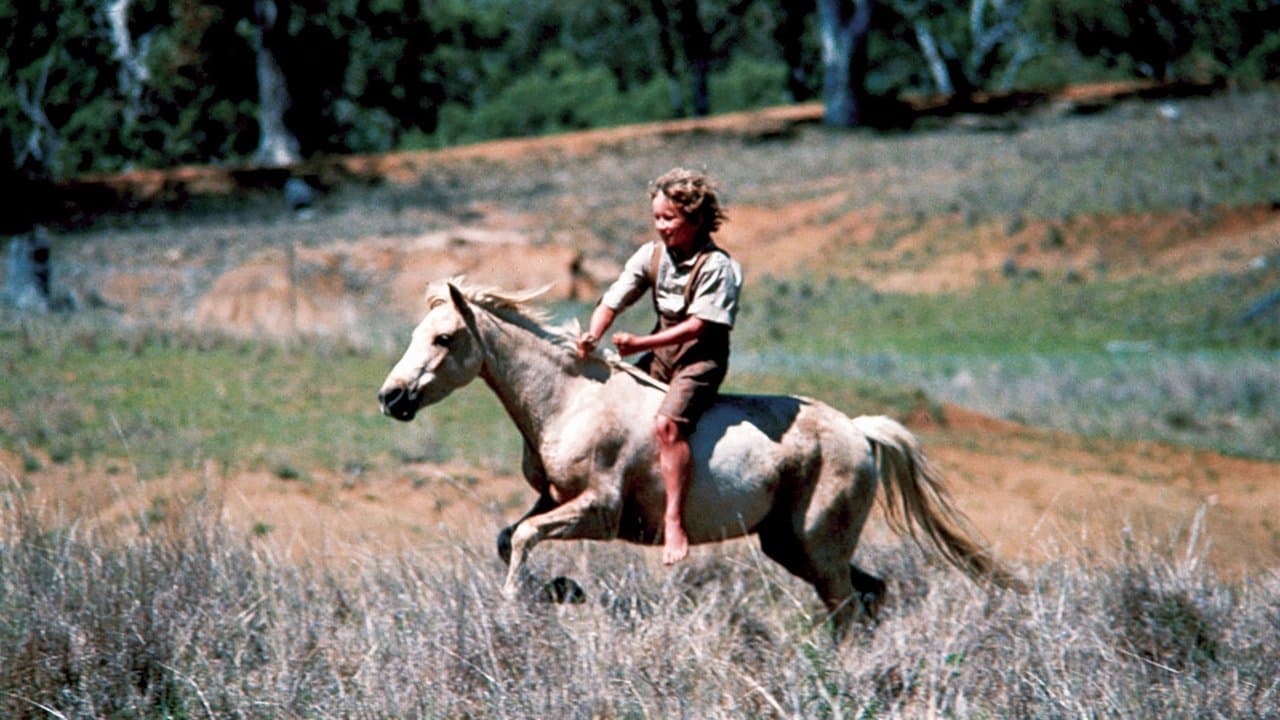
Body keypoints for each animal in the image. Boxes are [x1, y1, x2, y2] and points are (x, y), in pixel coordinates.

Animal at [378, 279, 1019, 635]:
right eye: (414, 333)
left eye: (443, 338)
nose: (391, 397)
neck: (572, 399)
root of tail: (860, 433)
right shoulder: (553, 498)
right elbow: (509, 537)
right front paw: (560, 590)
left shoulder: (599, 511)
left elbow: (527, 539)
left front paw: (522, 605)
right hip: (793, 545)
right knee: (871, 595)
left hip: (818, 546)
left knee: (849, 608)